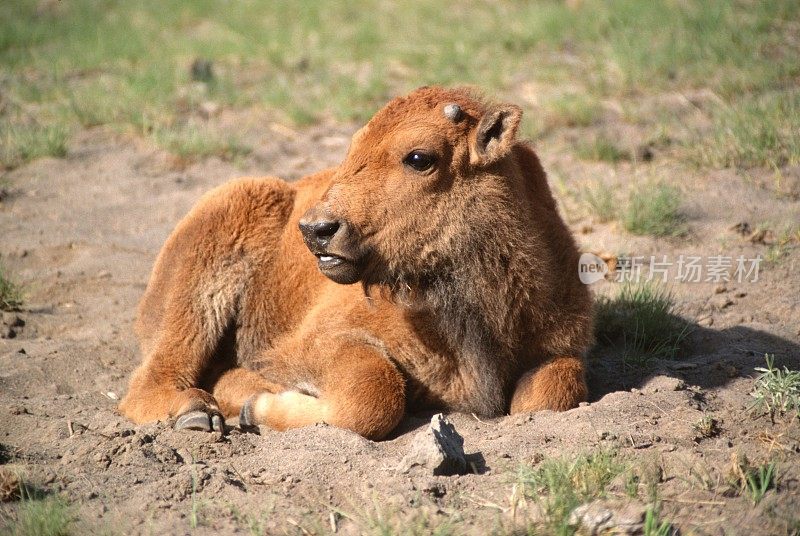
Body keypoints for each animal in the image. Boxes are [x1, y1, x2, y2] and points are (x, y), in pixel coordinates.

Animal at [120, 87, 592, 440]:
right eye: (355, 148)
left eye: (419, 157)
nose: (316, 229)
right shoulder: (316, 342)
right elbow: (375, 391)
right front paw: (259, 405)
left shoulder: (562, 346)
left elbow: (554, 391)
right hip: (202, 281)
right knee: (151, 379)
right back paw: (196, 413)